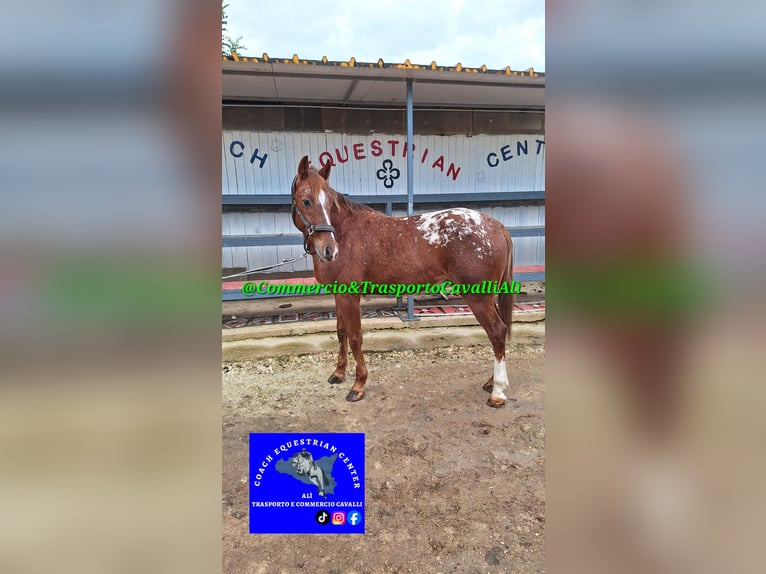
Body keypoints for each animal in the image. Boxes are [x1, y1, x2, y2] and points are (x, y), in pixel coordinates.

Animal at [292, 156, 520, 410]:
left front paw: (358, 385)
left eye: (329, 202)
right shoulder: (339, 294)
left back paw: (497, 392)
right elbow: (341, 332)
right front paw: (338, 373)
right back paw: (493, 382)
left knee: (497, 331)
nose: (329, 250)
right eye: (306, 201)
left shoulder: (350, 296)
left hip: (478, 297)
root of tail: (496, 225)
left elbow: (355, 337)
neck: (345, 233)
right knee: (499, 331)